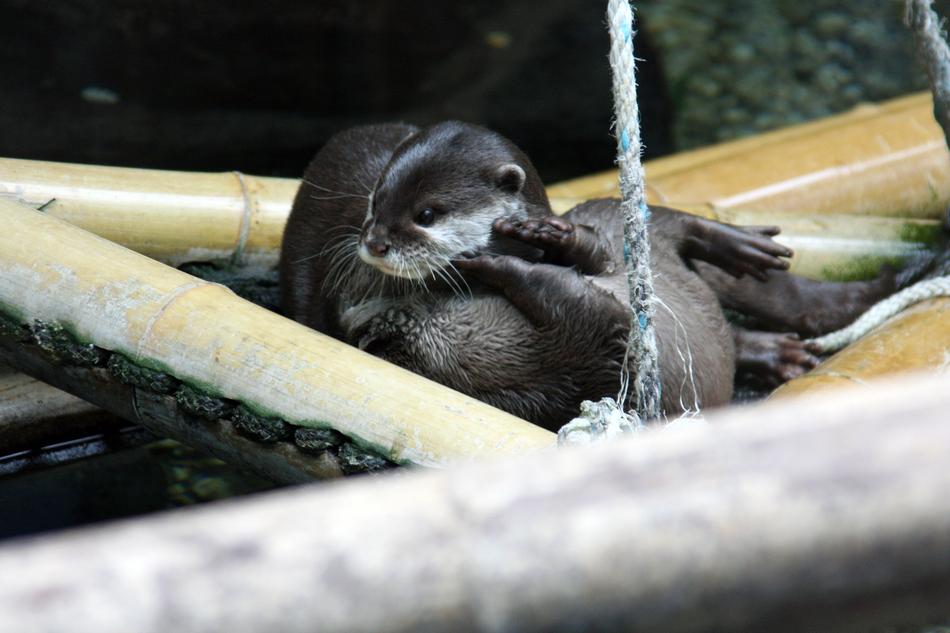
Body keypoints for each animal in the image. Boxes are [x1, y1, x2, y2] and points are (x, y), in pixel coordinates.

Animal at [279, 122, 902, 429]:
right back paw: (777, 353)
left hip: (618, 214)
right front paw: (485, 260)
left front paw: (523, 243)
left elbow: (580, 262)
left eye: (427, 214)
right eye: (374, 202)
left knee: (666, 229)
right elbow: (570, 300)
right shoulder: (587, 343)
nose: (373, 242)